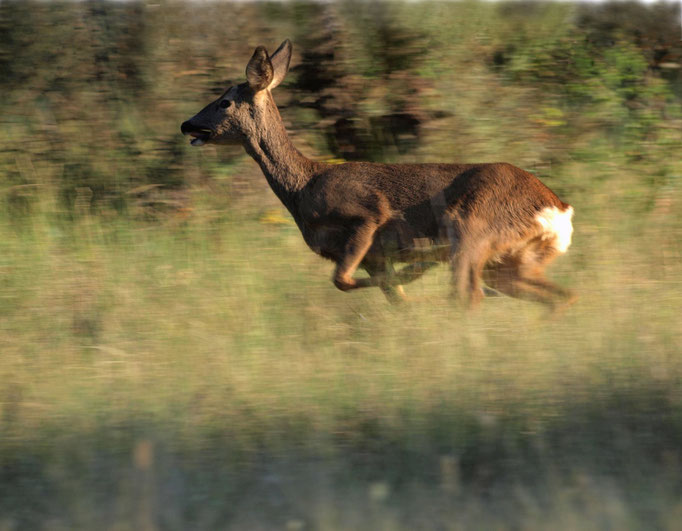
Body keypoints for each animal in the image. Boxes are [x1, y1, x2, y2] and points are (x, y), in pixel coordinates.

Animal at [181, 41, 572, 310]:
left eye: (224, 102)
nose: (187, 124)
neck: (303, 188)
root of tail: (556, 209)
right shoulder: (374, 258)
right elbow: (387, 296)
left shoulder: (367, 214)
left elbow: (342, 280)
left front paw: (416, 273)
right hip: (512, 260)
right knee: (561, 295)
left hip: (471, 229)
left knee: (469, 294)